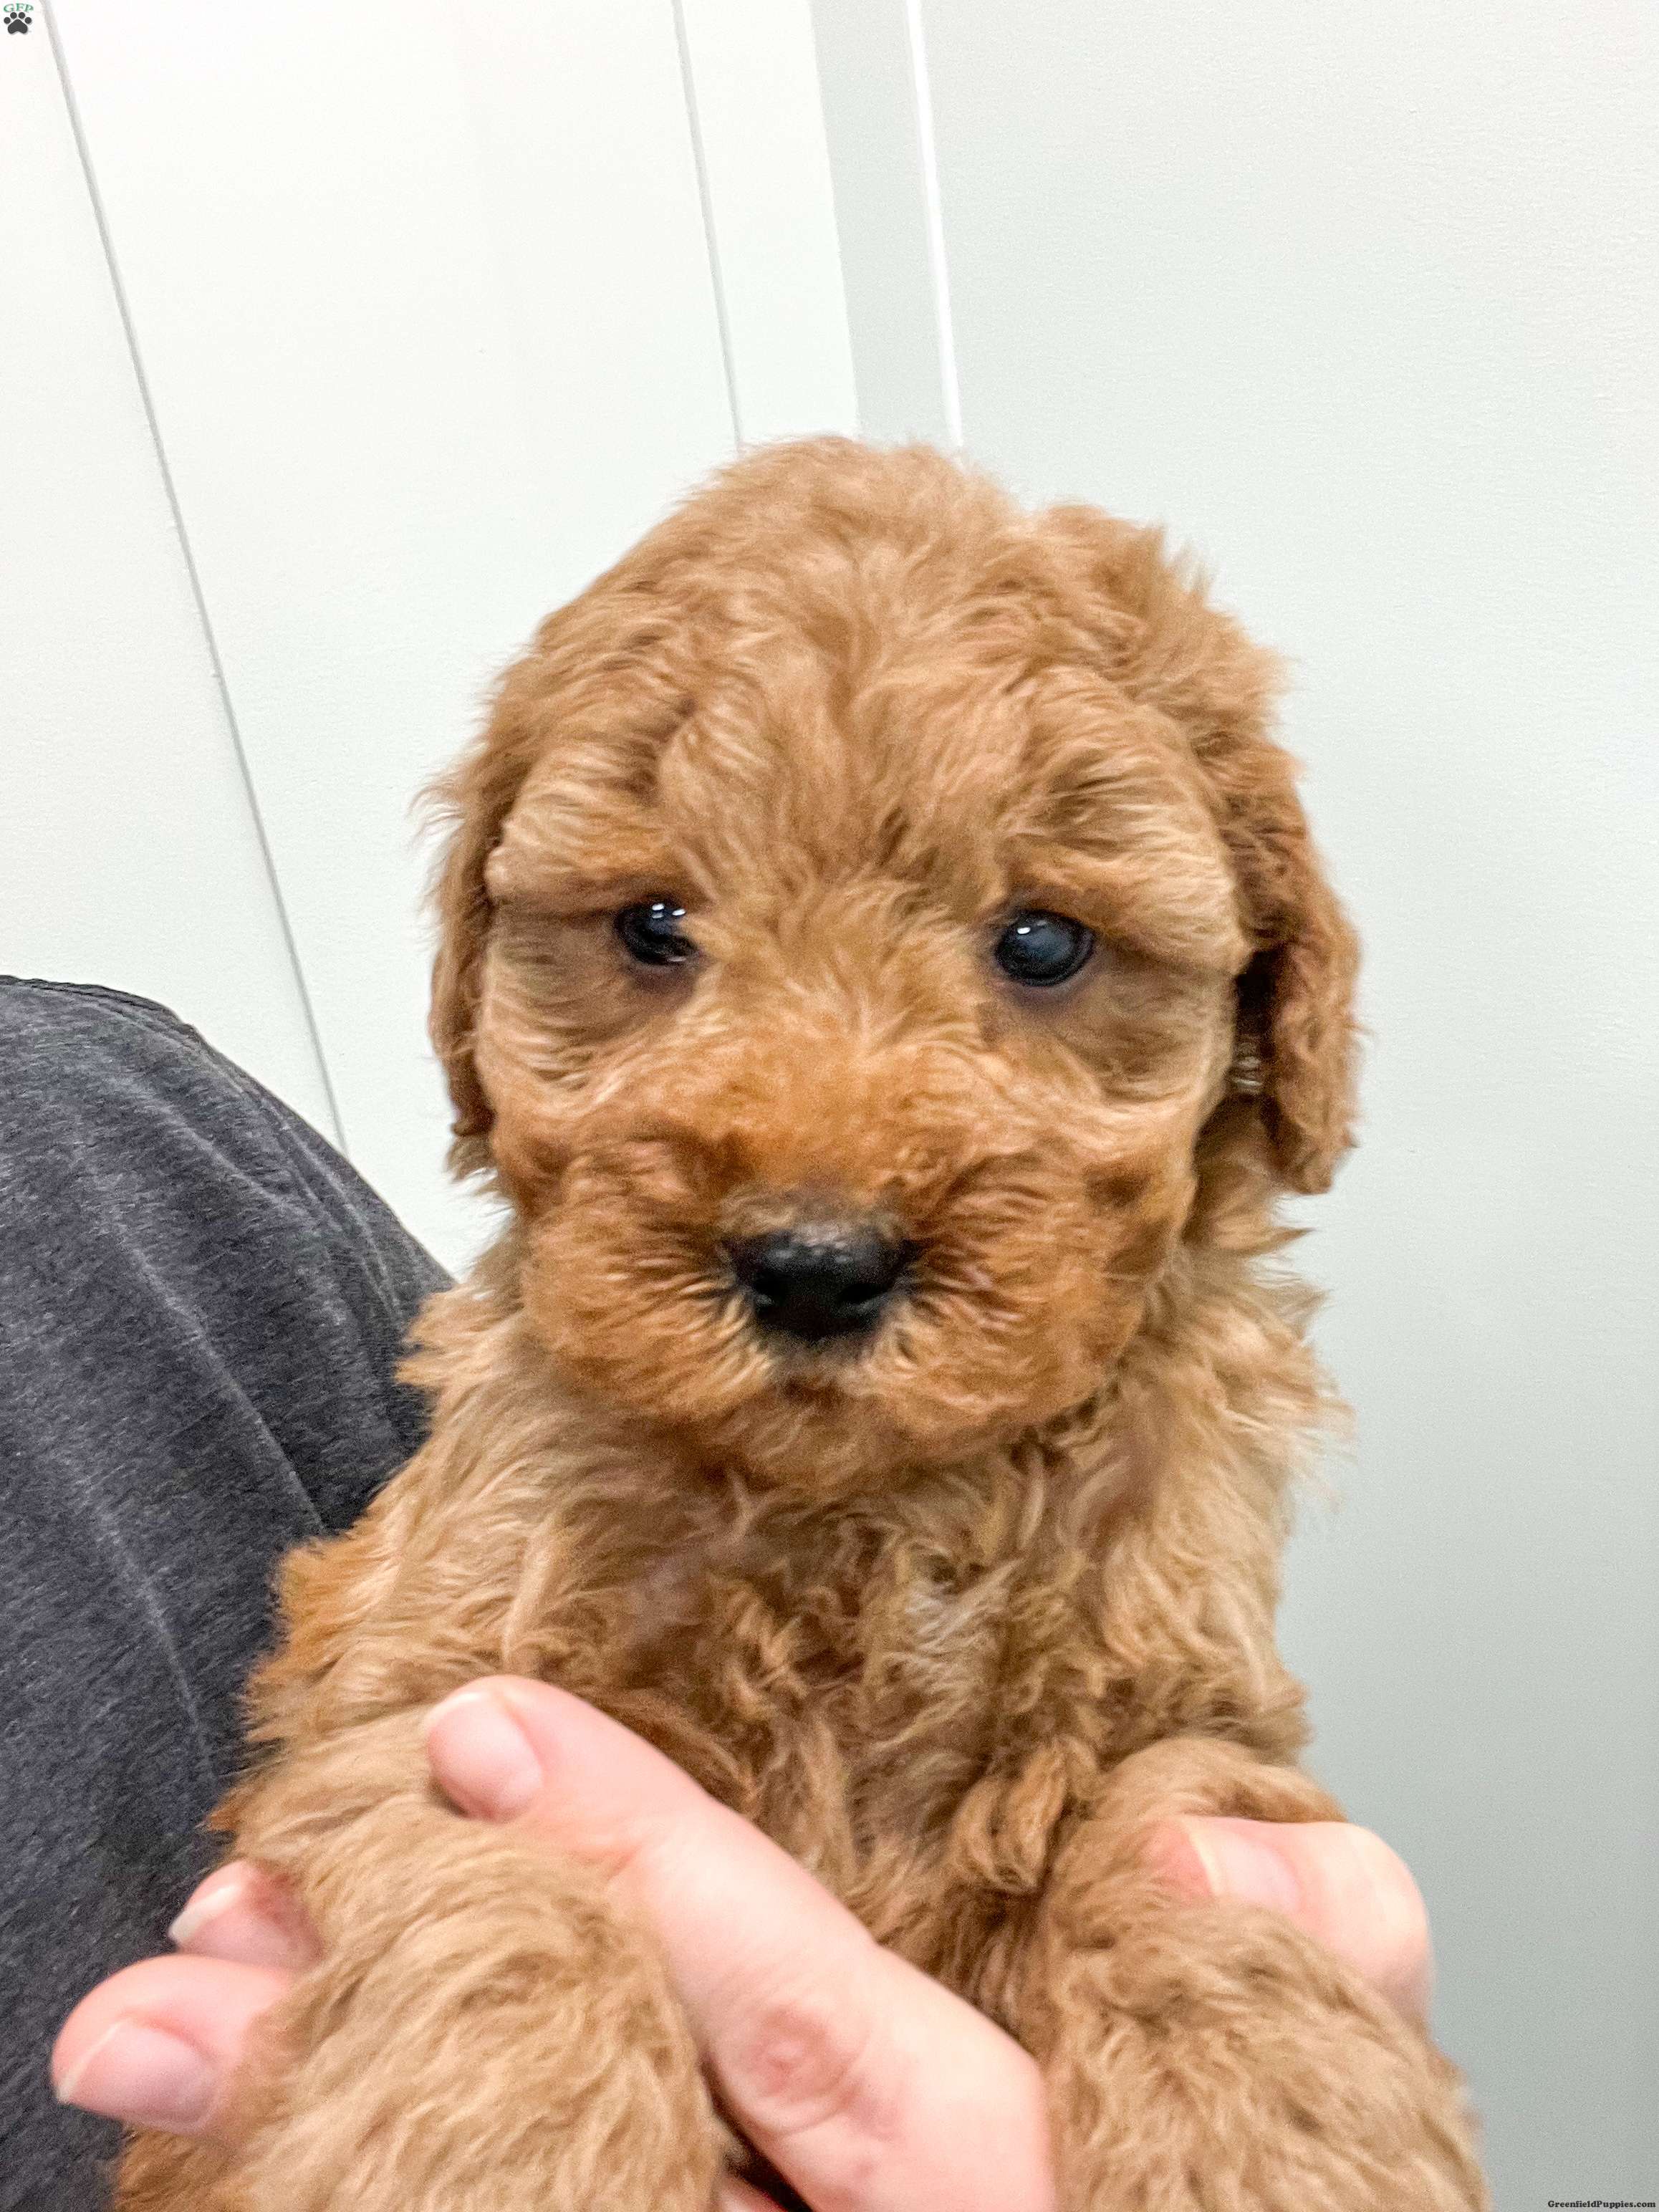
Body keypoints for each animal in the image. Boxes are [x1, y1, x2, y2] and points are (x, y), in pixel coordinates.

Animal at [117, 438, 1487, 2209]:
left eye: (1042, 940)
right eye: (651, 925)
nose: (816, 1265)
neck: (868, 1513)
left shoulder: (1180, 1697)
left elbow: (1195, 1869)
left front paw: (1267, 2137)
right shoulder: (427, 1693)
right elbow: (507, 1912)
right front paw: (518, 2155)